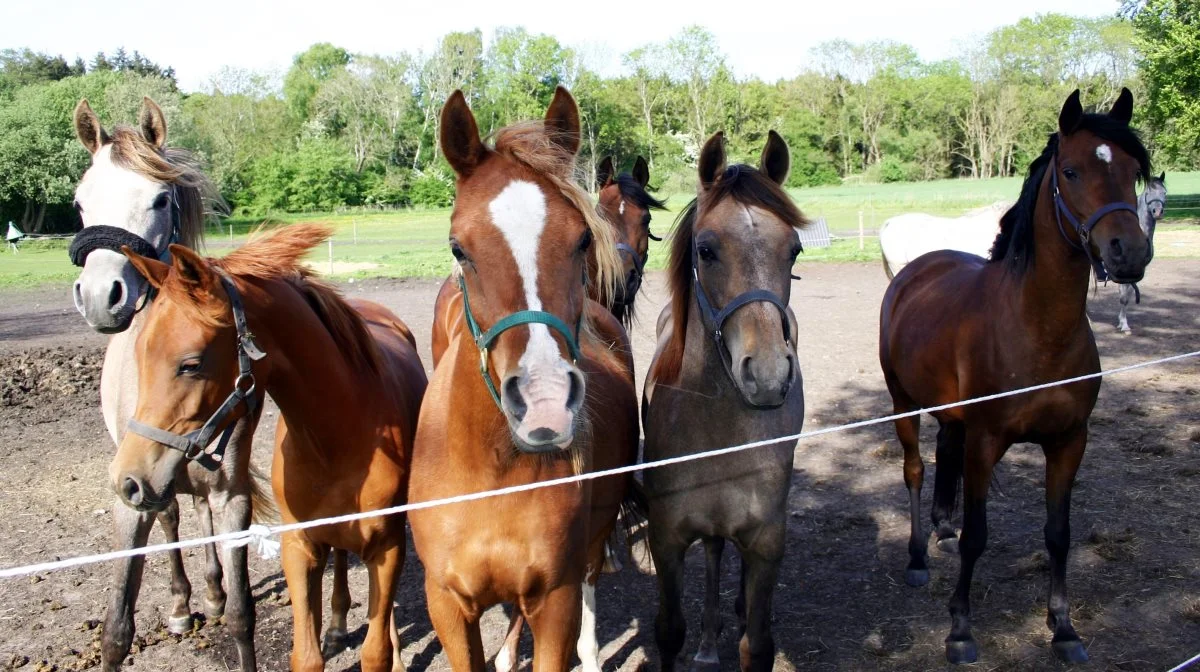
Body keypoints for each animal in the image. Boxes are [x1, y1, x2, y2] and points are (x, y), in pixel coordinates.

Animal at [115, 223, 427, 667]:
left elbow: (376, 651)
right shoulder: (297, 546)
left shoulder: (387, 549)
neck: (336, 440)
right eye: (139, 355)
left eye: (191, 364)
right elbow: (307, 657)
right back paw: (336, 626)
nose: (128, 481)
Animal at [410, 89, 643, 672]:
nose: (544, 404)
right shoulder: (446, 606)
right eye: (458, 248)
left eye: (581, 240)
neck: (492, 473)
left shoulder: (555, 601)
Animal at [638, 131, 806, 672]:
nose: (769, 375)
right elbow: (669, 631)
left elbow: (758, 645)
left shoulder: (767, 543)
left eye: (794, 250)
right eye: (706, 249)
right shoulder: (666, 539)